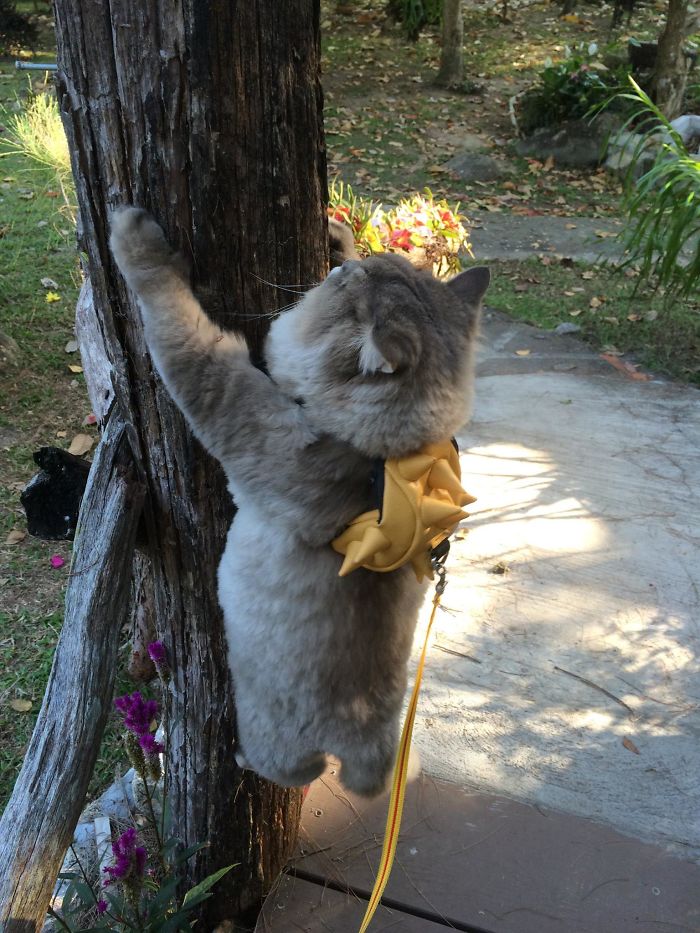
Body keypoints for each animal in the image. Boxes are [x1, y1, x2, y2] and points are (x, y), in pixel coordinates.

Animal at [112, 208, 490, 796]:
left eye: (344, 289)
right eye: (363, 270)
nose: (341, 269)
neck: (381, 459)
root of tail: (365, 748)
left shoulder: (221, 386)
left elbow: (173, 317)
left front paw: (135, 241)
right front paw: (339, 237)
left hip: (274, 736)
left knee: (292, 769)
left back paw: (244, 758)